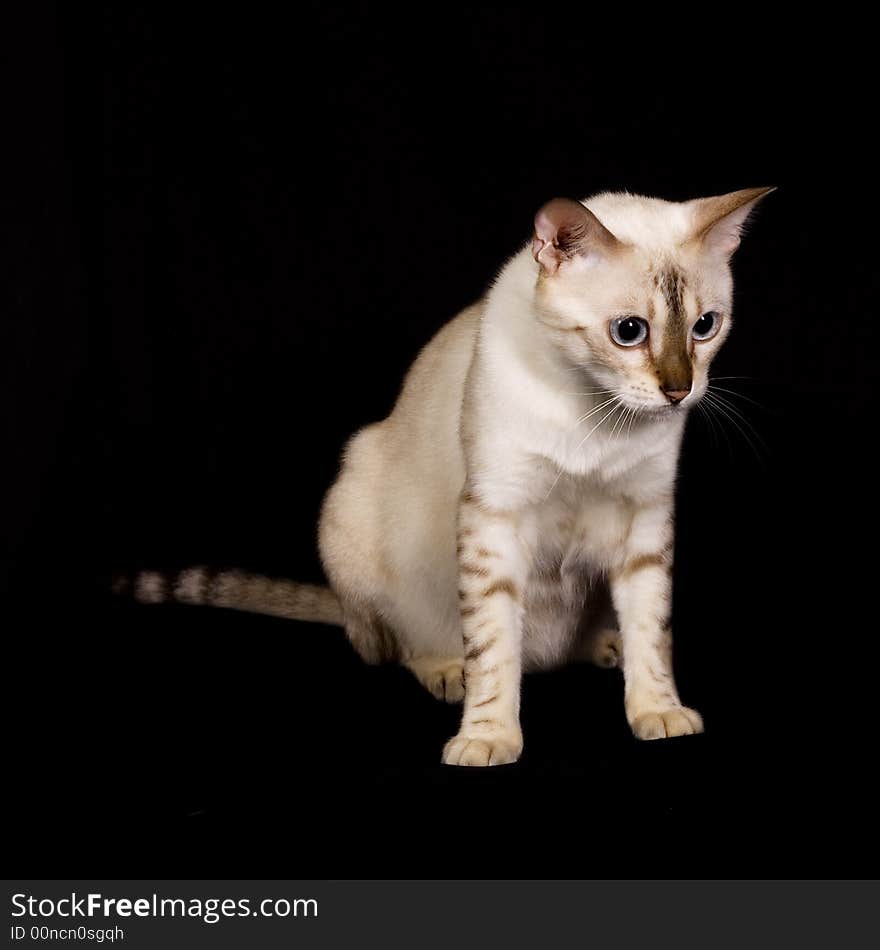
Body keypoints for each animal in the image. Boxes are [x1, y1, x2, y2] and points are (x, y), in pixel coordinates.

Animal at [120, 186, 772, 768]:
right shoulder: (494, 517)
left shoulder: (647, 517)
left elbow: (653, 633)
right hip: (353, 501)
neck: (597, 416)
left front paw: (657, 710)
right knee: (392, 644)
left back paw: (602, 646)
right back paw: (446, 670)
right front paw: (487, 739)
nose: (679, 391)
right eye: (629, 332)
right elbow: (493, 650)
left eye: (706, 326)